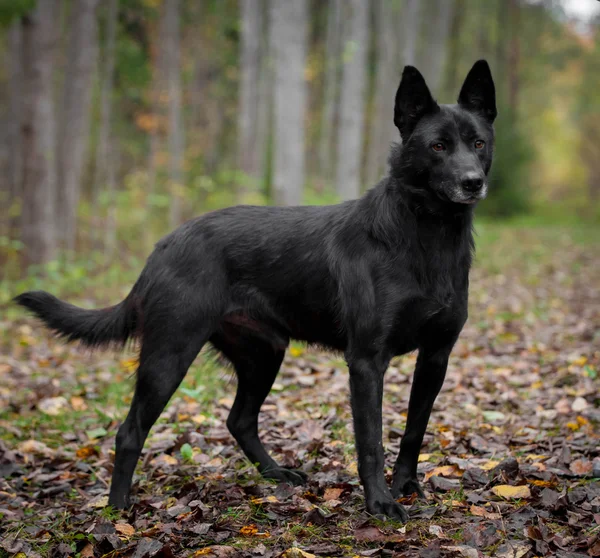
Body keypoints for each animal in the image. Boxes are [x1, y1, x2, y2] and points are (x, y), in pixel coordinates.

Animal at [15, 60, 496, 520]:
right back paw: (117, 513)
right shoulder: (366, 362)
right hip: (170, 354)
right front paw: (380, 503)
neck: (426, 234)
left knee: (239, 420)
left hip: (263, 353)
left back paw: (276, 474)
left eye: (478, 143)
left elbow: (414, 430)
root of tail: (163, 247)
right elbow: (371, 442)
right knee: (130, 431)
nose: (473, 182)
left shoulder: (436, 356)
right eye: (437, 146)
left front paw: (407, 486)